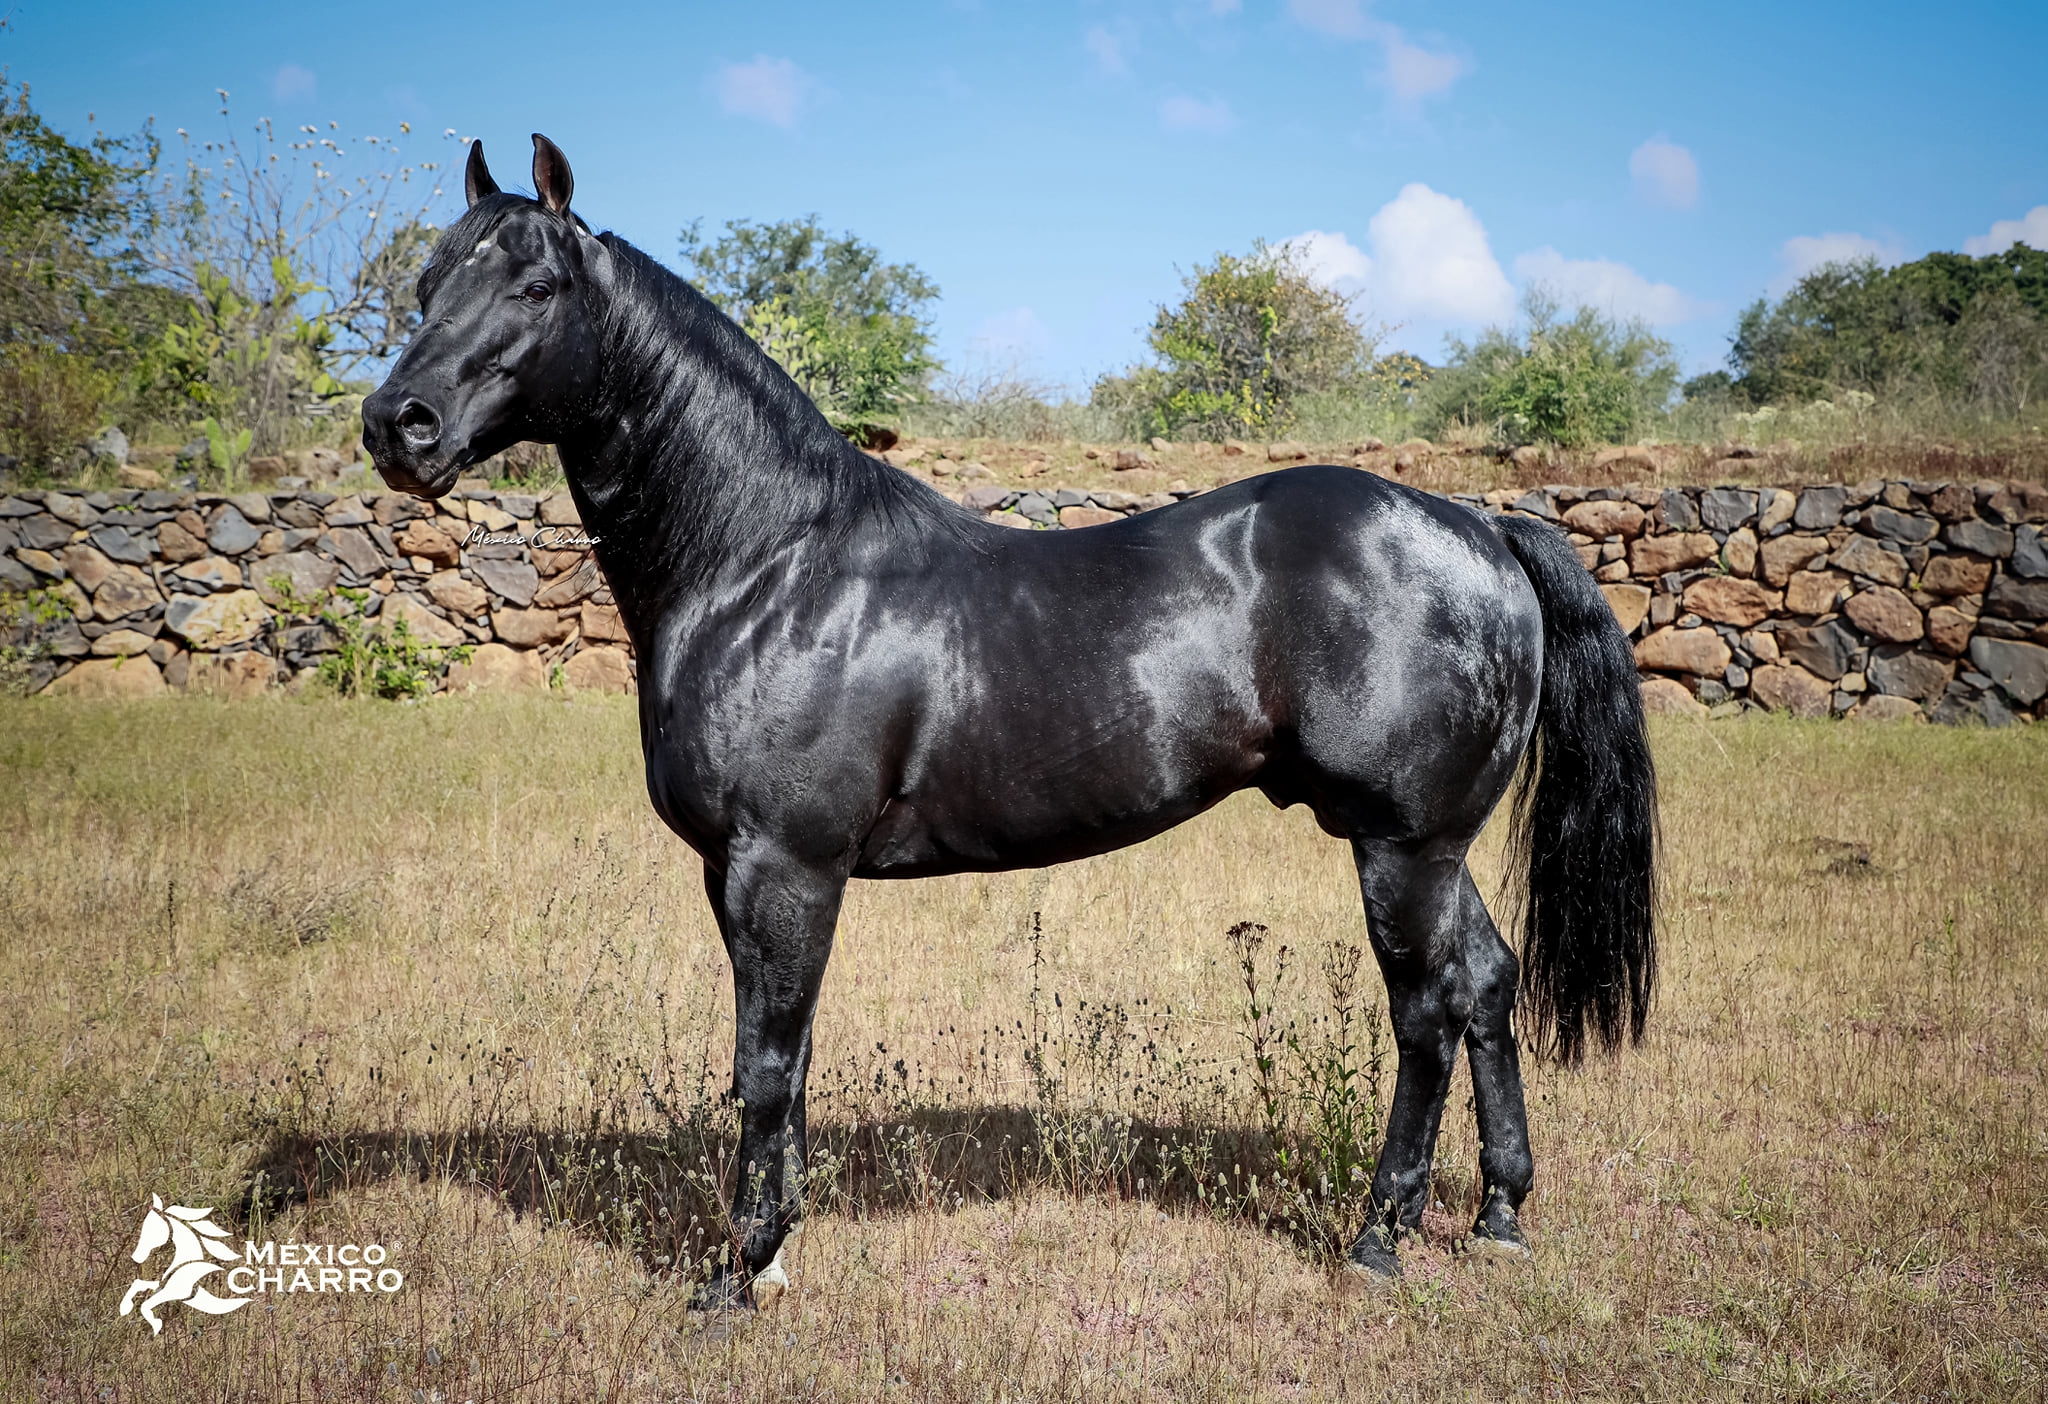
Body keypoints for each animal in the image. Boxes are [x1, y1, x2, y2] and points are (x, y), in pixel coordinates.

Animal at [362, 135, 1657, 1305]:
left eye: (535, 287)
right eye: (427, 283)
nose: (396, 425)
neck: (769, 565)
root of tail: (1479, 525)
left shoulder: (780, 866)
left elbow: (763, 1066)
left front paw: (734, 1276)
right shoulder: (753, 877)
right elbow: (791, 1056)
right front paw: (774, 1254)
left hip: (1399, 846)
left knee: (1426, 1015)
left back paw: (1378, 1241)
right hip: (1434, 848)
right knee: (1485, 985)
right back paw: (1496, 1216)